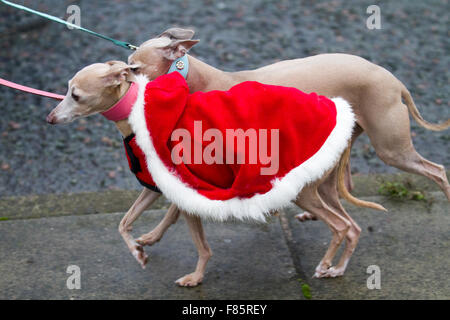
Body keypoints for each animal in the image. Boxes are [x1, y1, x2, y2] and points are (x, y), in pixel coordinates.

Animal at [45, 61, 384, 286]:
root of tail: (343, 116)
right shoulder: (160, 186)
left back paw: (325, 265)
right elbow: (124, 222)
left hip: (303, 189)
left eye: (75, 95)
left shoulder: (187, 190)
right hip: (323, 188)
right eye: (67, 90)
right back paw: (337, 269)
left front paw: (195, 277)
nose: (49, 118)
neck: (139, 112)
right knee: (352, 227)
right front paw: (142, 249)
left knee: (341, 226)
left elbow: (202, 246)